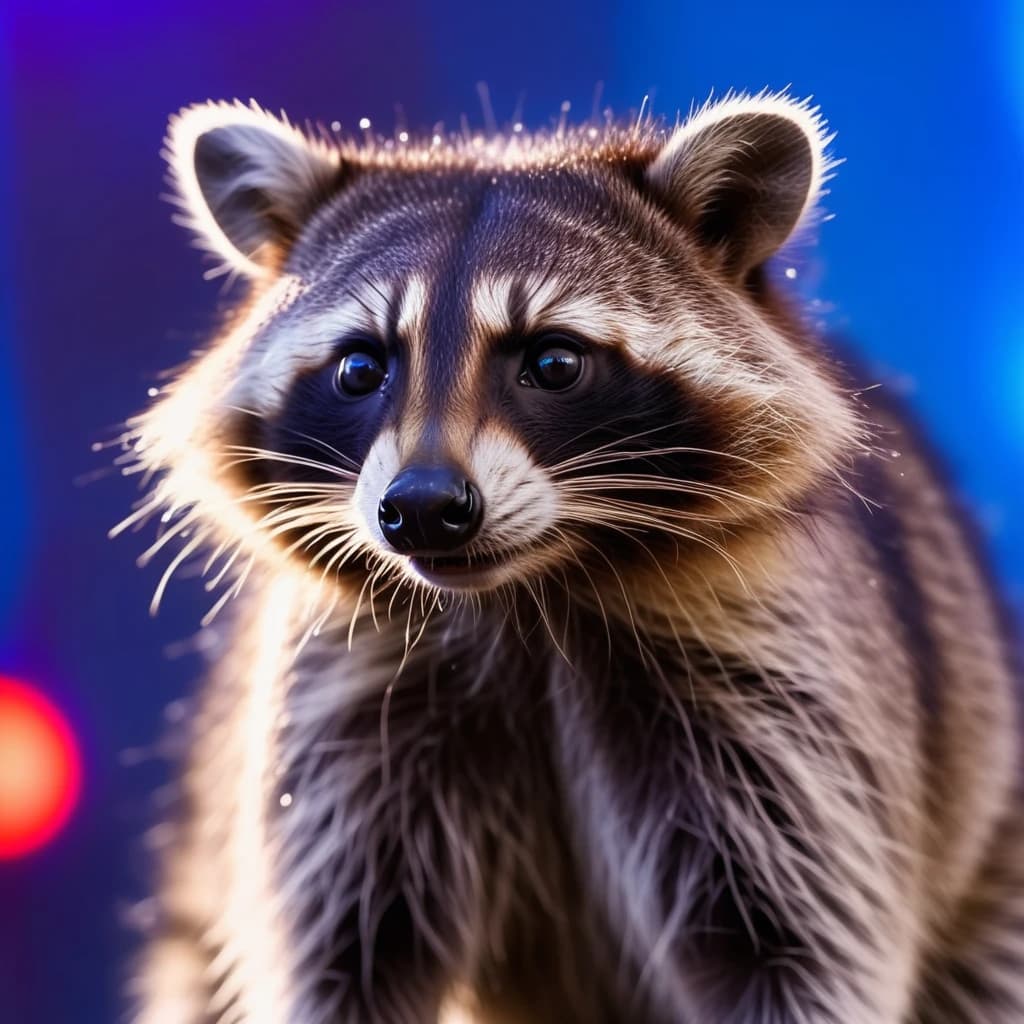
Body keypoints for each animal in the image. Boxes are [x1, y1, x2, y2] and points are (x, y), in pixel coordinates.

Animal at [121, 93, 1023, 1023]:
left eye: (553, 361)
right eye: (361, 368)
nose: (423, 508)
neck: (525, 596)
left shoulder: (781, 692)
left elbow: (800, 949)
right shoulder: (350, 705)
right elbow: (347, 959)